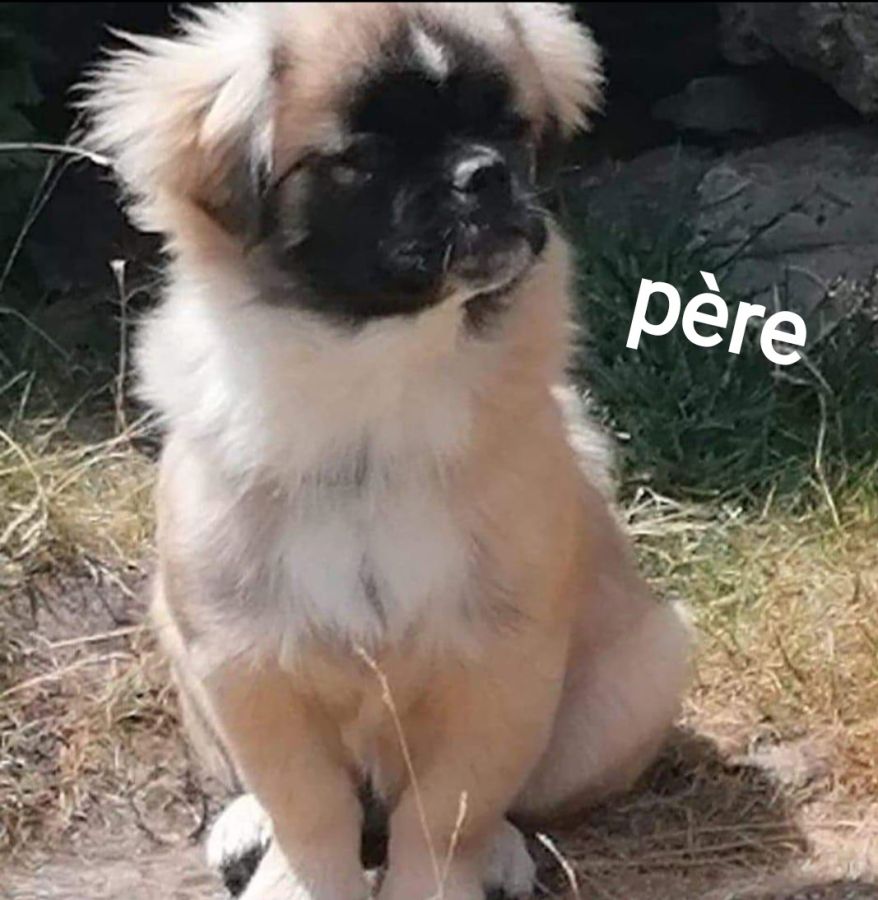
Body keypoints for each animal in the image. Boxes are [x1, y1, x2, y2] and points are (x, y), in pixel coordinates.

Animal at [83, 4, 691, 898]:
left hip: (641, 680)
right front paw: (297, 880)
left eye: (509, 131)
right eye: (364, 157)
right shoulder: (245, 662)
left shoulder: (498, 670)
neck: (376, 385)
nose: (485, 175)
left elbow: (443, 817)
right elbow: (310, 811)